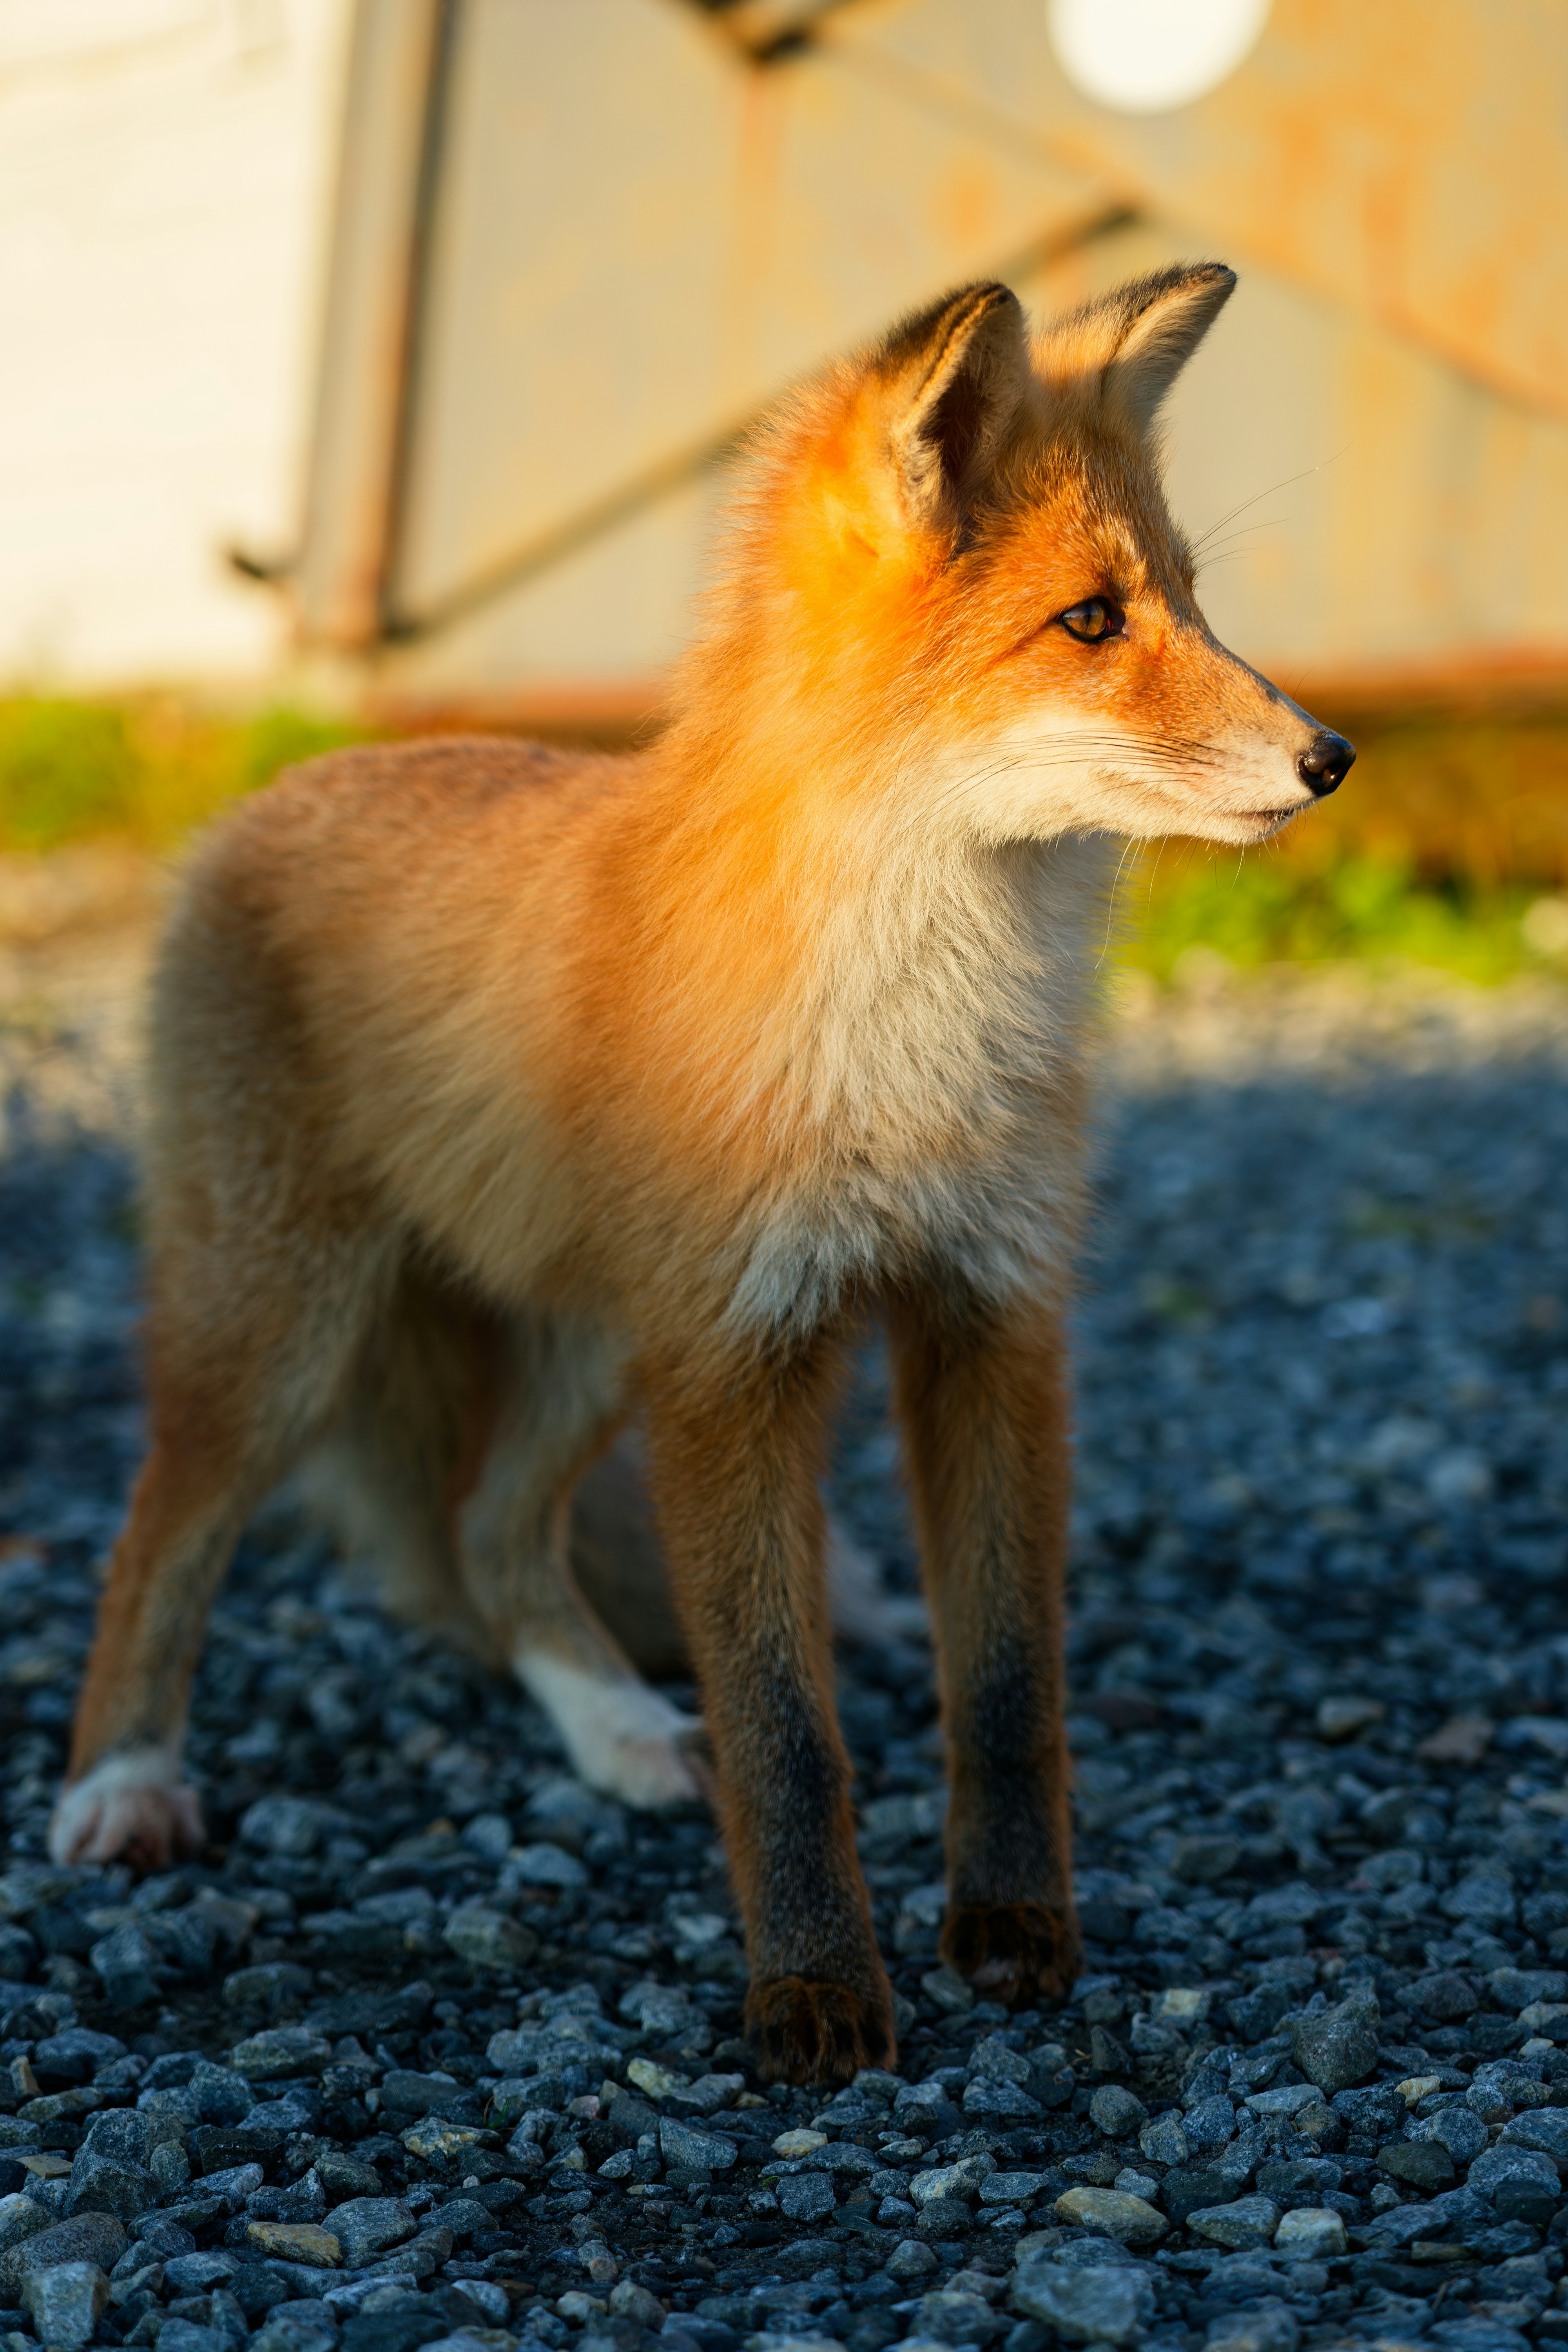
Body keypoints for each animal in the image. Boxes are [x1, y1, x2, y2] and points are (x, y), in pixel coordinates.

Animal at [49, 265, 1351, 2084]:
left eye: (1186, 600)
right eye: (1091, 623)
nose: (1333, 757)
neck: (906, 1042)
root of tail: (279, 786)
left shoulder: (986, 1321)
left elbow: (1004, 1691)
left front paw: (1013, 1933)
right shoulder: (736, 1362)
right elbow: (783, 1728)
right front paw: (813, 1996)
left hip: (594, 1343)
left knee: (490, 1535)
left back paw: (613, 1731)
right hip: (289, 1335)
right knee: (160, 1531)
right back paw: (123, 1780)